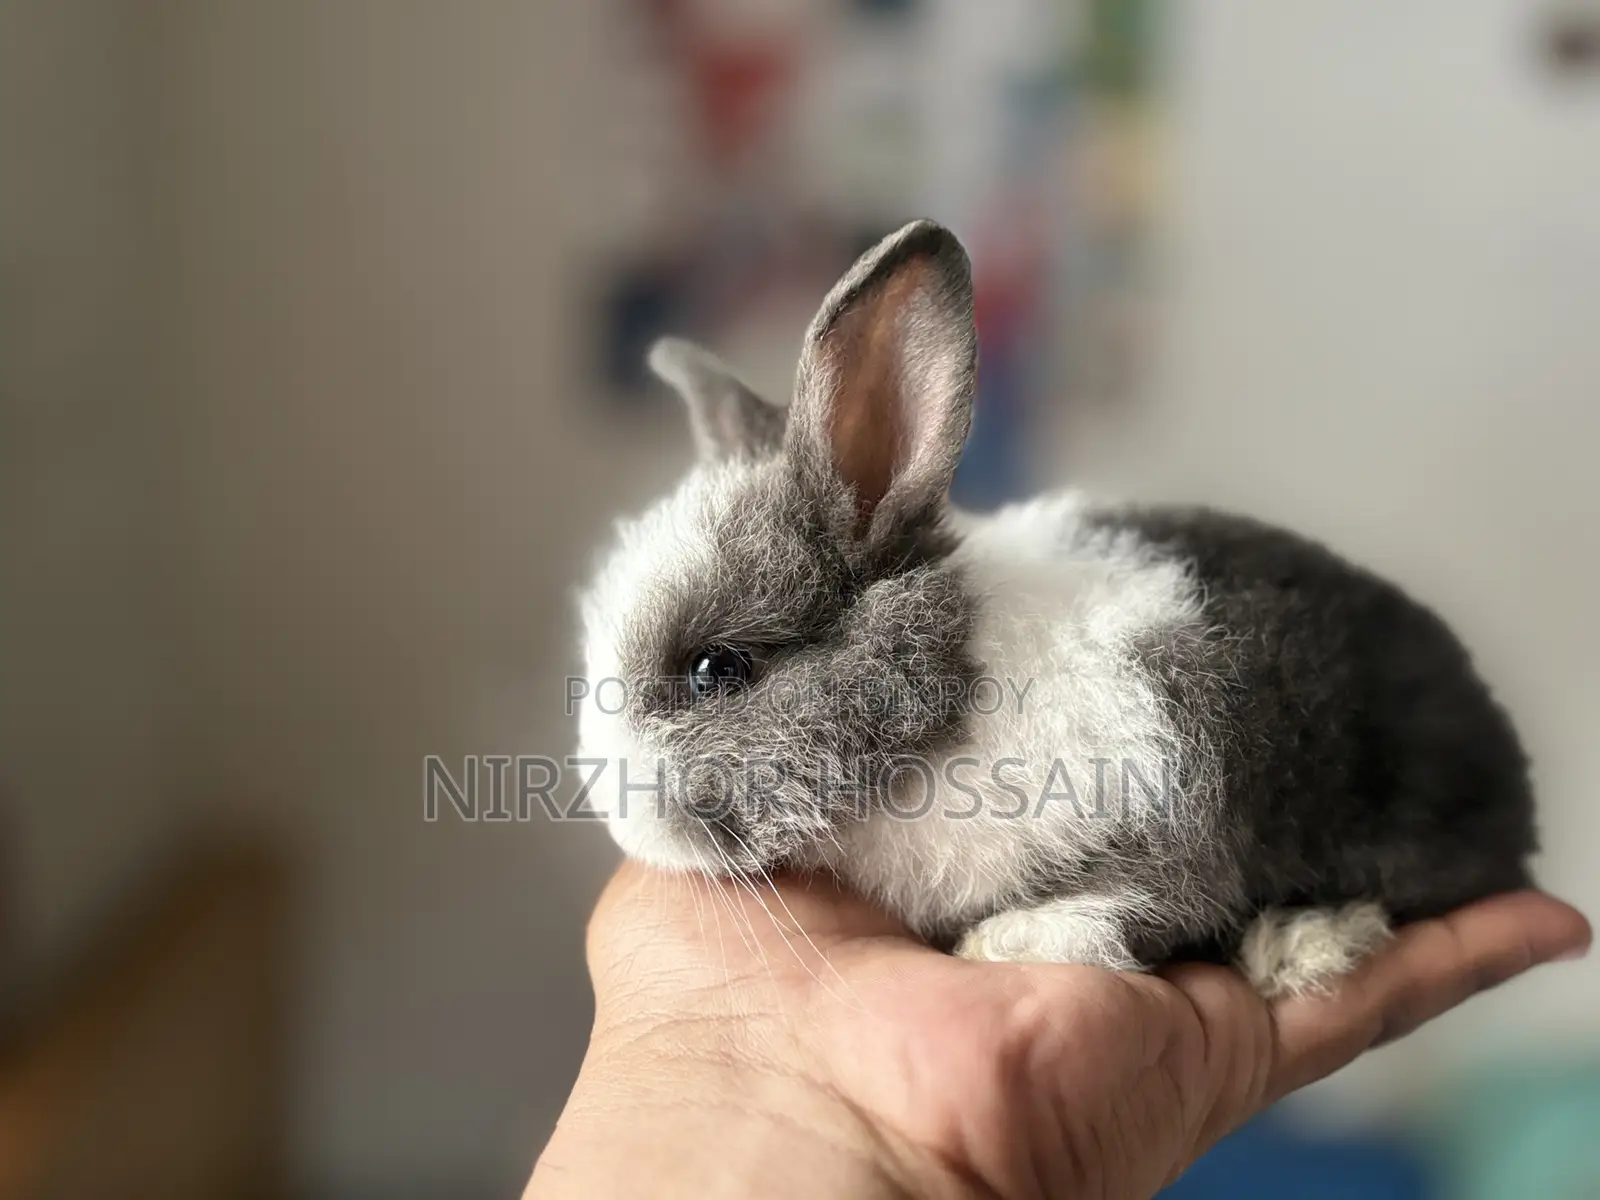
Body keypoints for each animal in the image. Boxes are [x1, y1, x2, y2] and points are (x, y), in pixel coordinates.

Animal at [575, 219, 1538, 997]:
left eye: (716, 668)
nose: (620, 821)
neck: (951, 703)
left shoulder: (1175, 819)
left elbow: (1143, 907)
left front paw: (1003, 941)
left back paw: (1304, 944)